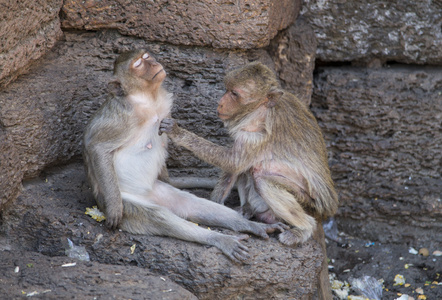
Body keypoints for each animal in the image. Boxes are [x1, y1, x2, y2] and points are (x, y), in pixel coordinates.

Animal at [83, 50, 288, 262]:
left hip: (161, 192)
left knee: (193, 205)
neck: (147, 100)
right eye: (138, 64)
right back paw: (220, 239)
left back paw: (250, 226)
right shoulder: (122, 116)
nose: (154, 63)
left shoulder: (164, 109)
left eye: (146, 56)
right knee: (161, 218)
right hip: (129, 201)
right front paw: (114, 207)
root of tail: (147, 196)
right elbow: (97, 147)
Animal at [161, 61, 340, 246]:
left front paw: (177, 133)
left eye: (234, 94)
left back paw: (304, 229)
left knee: (262, 178)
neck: (262, 110)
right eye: (227, 89)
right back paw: (248, 209)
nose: (220, 103)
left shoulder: (255, 134)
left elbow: (233, 161)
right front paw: (215, 205)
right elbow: (234, 167)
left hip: (309, 204)